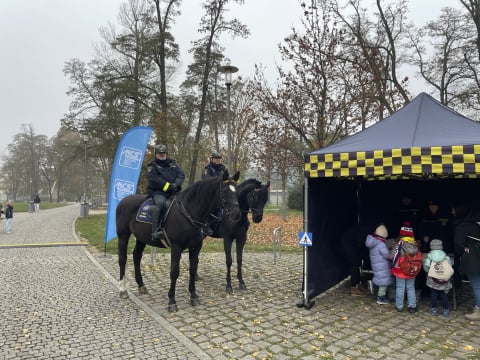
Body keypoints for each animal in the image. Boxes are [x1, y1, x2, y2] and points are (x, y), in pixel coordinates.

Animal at [116, 170, 240, 310]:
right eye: (224, 190)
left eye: (236, 190)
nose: (236, 213)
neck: (190, 212)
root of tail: (123, 200)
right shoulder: (176, 247)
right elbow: (174, 272)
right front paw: (171, 301)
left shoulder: (196, 247)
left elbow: (192, 270)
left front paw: (193, 296)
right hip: (123, 235)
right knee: (122, 259)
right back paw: (123, 289)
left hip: (141, 238)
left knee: (136, 257)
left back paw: (141, 285)